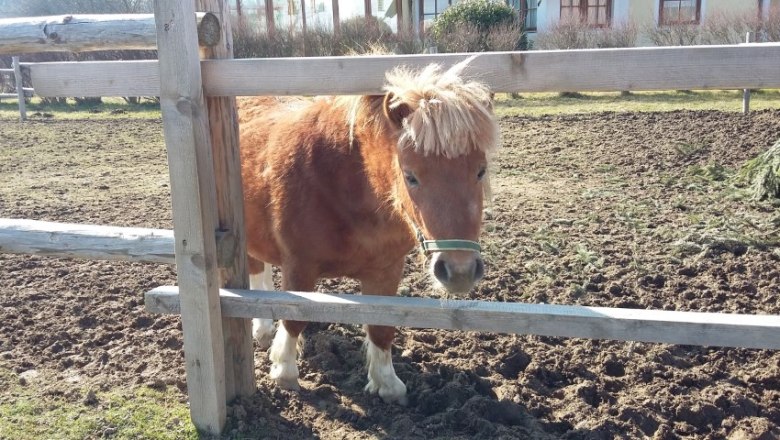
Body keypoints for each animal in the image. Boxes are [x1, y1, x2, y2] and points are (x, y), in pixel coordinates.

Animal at [239, 58, 499, 405]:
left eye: (480, 171)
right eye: (410, 175)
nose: (460, 272)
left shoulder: (387, 269)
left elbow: (381, 325)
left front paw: (386, 384)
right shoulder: (299, 266)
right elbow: (294, 318)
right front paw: (284, 371)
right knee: (256, 271)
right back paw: (264, 330)